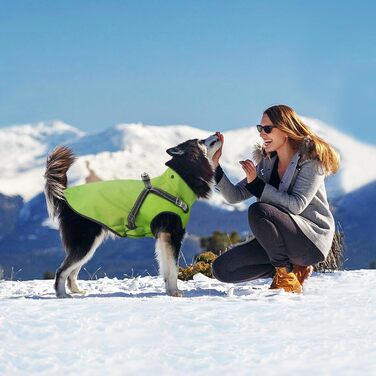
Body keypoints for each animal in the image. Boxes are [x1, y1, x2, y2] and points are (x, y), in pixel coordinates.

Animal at [43, 134, 222, 298]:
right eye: (200, 141)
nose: (218, 134)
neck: (178, 183)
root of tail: (65, 196)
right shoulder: (172, 235)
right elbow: (172, 269)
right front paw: (174, 292)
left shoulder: (163, 237)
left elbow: (166, 268)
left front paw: (169, 291)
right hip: (85, 242)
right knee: (62, 270)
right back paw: (62, 294)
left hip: (89, 244)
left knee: (72, 271)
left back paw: (77, 291)